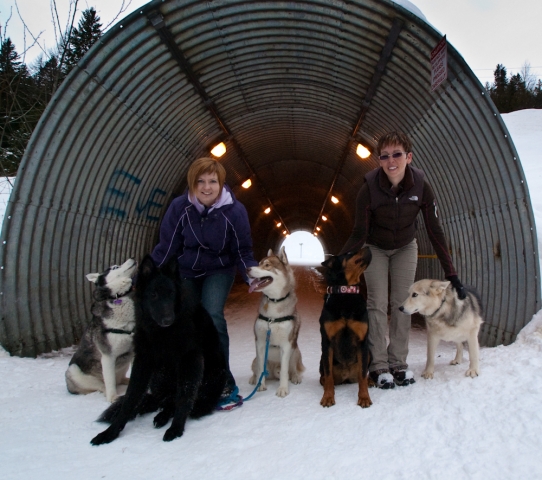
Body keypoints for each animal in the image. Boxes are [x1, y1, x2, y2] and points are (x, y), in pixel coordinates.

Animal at [66, 258, 138, 402]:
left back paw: (125, 381)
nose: (132, 258)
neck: (118, 297)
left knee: (119, 379)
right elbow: (109, 382)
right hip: (74, 370)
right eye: (115, 267)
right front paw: (113, 398)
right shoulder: (107, 356)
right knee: (103, 385)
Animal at [92, 256, 228, 444]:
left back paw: (164, 417)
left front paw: (176, 428)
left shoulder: (190, 359)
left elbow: (184, 396)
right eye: (153, 295)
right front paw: (111, 432)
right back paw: (161, 415)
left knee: (179, 402)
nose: (168, 319)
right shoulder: (143, 360)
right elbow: (130, 398)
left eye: (171, 294)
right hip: (158, 377)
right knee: (165, 401)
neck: (162, 333)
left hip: (212, 377)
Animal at [248, 248, 306, 398]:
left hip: (296, 352)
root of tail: (274, 371)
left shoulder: (286, 345)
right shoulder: (260, 342)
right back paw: (254, 379)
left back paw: (295, 377)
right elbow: (260, 369)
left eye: (267, 265)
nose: (247, 269)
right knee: (257, 369)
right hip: (254, 360)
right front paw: (260, 385)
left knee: (291, 369)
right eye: (259, 263)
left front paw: (283, 389)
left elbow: (285, 371)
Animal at [318, 248, 374, 408]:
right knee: (325, 374)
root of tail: (346, 377)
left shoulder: (363, 341)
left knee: (363, 374)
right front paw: (328, 397)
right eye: (349, 253)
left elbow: (363, 374)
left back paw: (370, 380)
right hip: (321, 358)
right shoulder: (327, 341)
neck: (346, 292)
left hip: (369, 353)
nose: (368, 247)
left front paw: (364, 397)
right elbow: (328, 374)